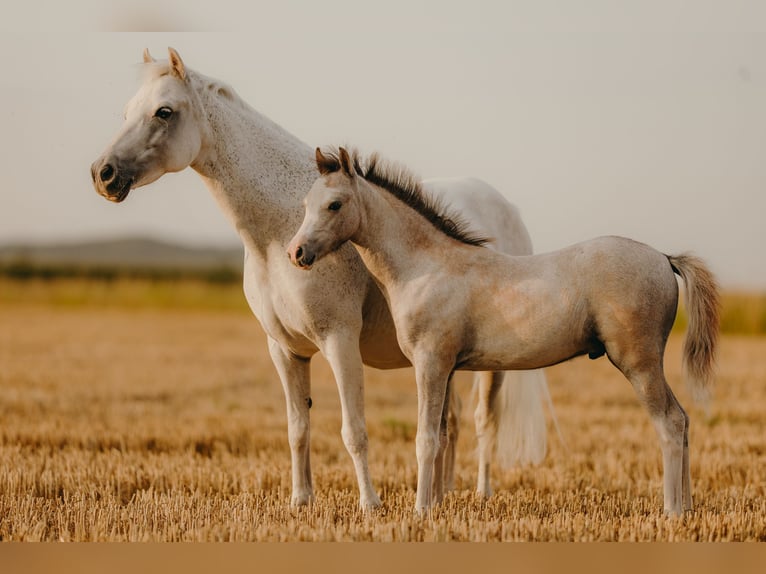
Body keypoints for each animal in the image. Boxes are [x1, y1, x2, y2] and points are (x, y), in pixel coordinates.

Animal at [90, 48, 554, 508]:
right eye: (127, 111)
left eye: (164, 111)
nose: (103, 173)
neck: (277, 236)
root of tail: (508, 210)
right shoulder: (285, 351)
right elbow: (298, 429)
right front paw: (301, 500)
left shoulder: (340, 342)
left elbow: (354, 431)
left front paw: (370, 504)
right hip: (443, 361)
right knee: (448, 423)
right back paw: (440, 496)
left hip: (489, 365)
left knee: (483, 421)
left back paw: (481, 493)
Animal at [288, 147, 720, 515]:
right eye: (305, 205)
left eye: (335, 204)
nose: (297, 253)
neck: (426, 266)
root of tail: (664, 258)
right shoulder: (445, 369)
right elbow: (442, 435)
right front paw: (436, 504)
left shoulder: (430, 364)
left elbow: (425, 439)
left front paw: (421, 510)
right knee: (683, 421)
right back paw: (689, 509)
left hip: (639, 365)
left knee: (670, 423)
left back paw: (672, 510)